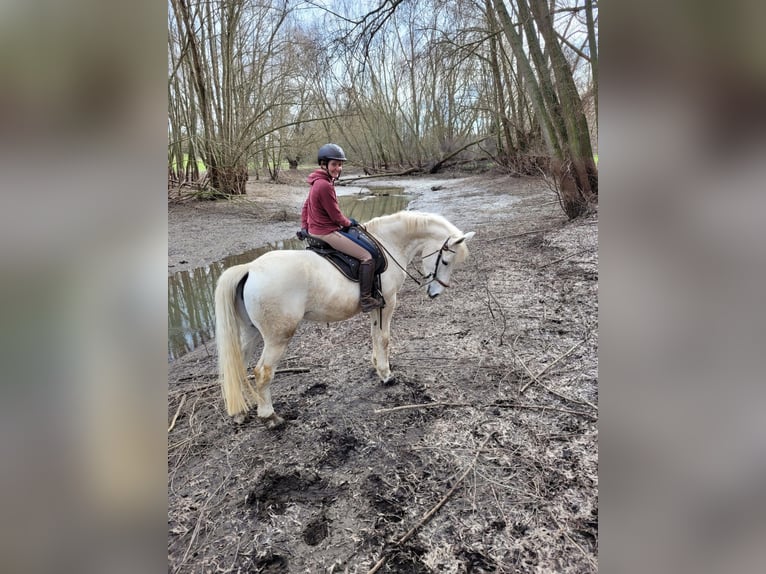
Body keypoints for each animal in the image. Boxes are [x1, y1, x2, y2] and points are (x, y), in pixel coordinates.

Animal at [214, 210, 474, 428]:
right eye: (446, 261)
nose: (435, 293)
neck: (389, 242)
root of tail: (250, 268)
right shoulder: (389, 303)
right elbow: (384, 338)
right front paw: (386, 375)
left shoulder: (376, 307)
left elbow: (375, 336)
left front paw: (377, 366)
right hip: (278, 337)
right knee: (263, 372)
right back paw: (270, 416)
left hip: (252, 332)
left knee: (239, 364)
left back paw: (241, 411)